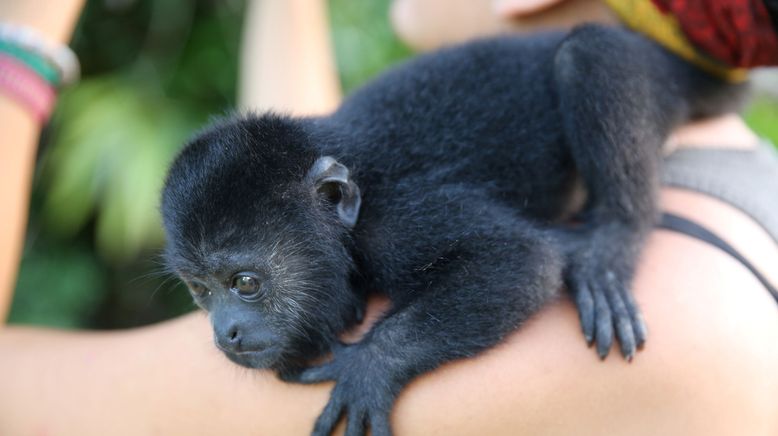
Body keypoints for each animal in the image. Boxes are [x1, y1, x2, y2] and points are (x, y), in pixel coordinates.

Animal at [161, 24, 744, 436]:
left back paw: (612, 241)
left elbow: (521, 260)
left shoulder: (397, 221)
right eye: (200, 292)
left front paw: (370, 366)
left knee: (586, 53)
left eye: (245, 283)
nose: (226, 332)